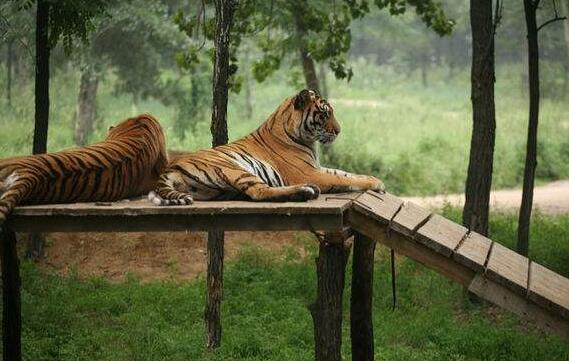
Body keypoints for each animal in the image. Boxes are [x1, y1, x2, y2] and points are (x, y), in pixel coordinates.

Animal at [149, 88, 384, 204]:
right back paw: (306, 191)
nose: (338, 130)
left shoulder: (316, 167)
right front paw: (375, 184)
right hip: (234, 169)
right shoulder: (309, 172)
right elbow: (344, 179)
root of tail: (170, 167)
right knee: (259, 192)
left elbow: (345, 173)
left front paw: (375, 179)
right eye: (325, 114)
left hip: (217, 190)